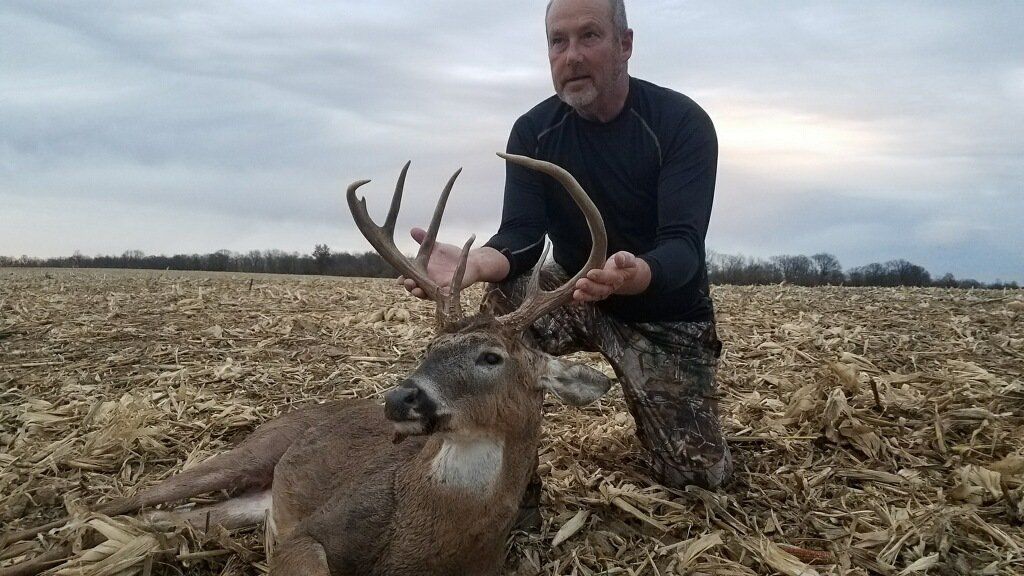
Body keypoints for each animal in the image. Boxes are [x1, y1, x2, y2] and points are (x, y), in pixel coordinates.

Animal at [0, 152, 612, 576]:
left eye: (490, 357)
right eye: (427, 349)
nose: (400, 397)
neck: (426, 538)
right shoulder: (311, 534)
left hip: (252, 499)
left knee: (158, 522)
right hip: (248, 453)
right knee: (124, 503)